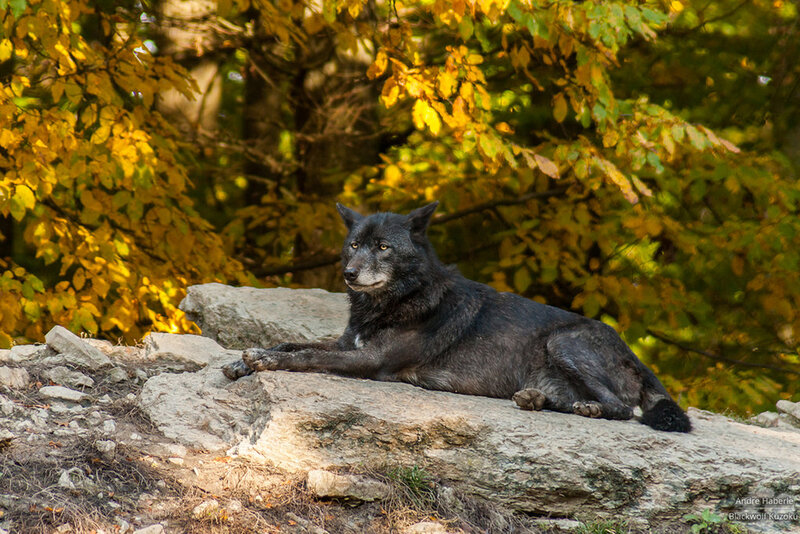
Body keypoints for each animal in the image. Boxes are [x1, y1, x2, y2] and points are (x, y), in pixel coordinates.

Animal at [223, 202, 691, 432]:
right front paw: (242, 360)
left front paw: (263, 360)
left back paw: (590, 409)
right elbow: (293, 341)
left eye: (383, 248)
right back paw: (539, 400)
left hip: (563, 341)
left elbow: (306, 356)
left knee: (623, 409)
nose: (349, 274)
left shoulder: (368, 359)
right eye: (354, 244)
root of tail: (635, 356)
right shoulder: (346, 343)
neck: (399, 299)